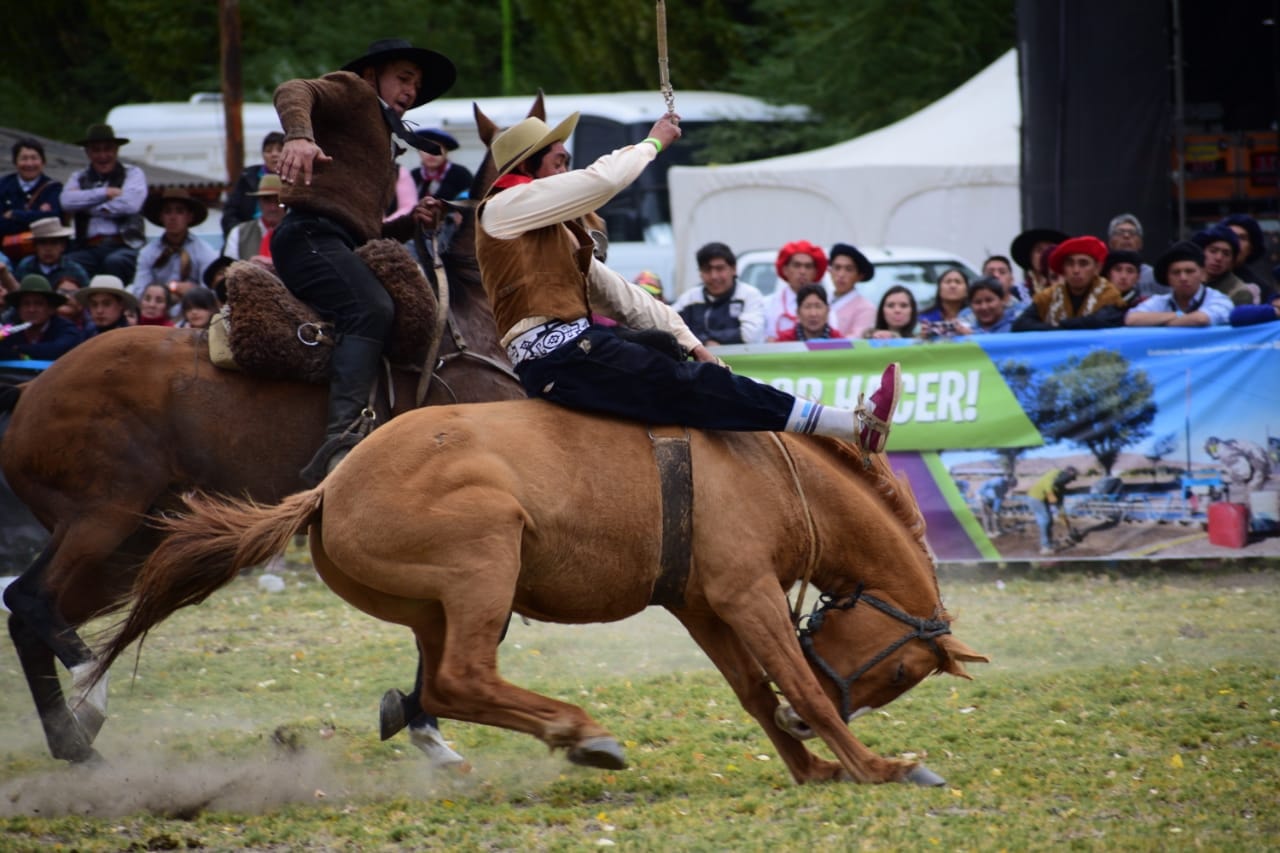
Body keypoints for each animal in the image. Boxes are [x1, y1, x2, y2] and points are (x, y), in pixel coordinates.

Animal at [94, 402, 983, 788]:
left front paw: (811, 764)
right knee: (463, 677)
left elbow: (755, 692)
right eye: (899, 671)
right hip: (485, 559)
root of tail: (329, 489)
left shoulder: (704, 603)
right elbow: (798, 681)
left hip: (431, 606)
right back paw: (580, 731)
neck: (769, 470)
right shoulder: (746, 591)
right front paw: (878, 764)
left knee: (442, 680)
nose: (808, 738)